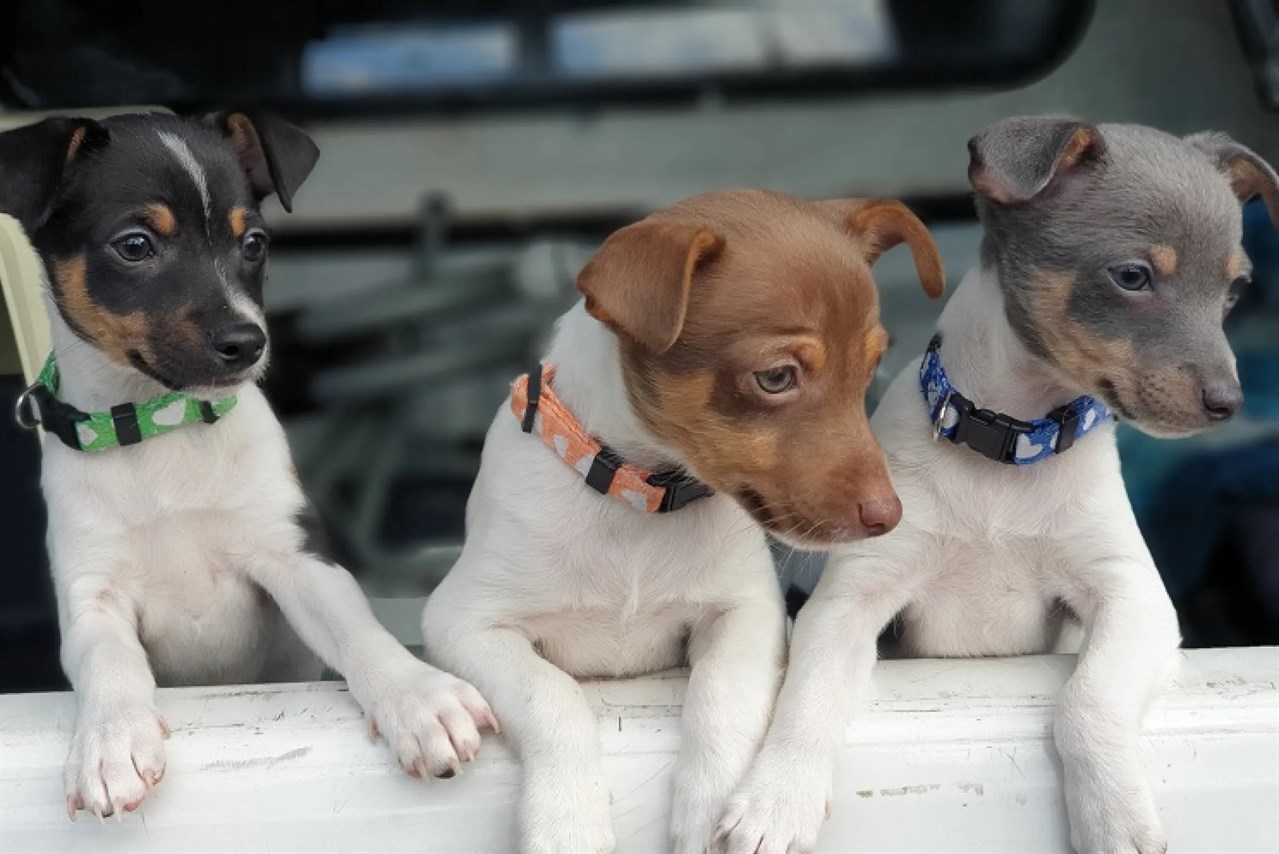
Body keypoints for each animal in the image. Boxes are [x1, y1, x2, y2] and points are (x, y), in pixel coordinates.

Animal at [0, 111, 493, 818]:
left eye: (254, 243)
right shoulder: (92, 596)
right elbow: (108, 667)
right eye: (134, 245)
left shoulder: (295, 558)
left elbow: (360, 632)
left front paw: (418, 697)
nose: (248, 343)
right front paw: (110, 742)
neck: (161, 428)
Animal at [424, 187, 946, 854]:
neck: (640, 503)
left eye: (871, 368)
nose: (890, 516)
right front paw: (566, 820)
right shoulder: (463, 623)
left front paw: (708, 807)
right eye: (776, 377)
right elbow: (551, 695)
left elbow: (721, 693)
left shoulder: (748, 611)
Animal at [716, 118, 1273, 854]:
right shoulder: (849, 602)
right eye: (1132, 276)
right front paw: (776, 801)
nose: (1227, 404)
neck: (1009, 451)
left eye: (1234, 292)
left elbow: (1087, 699)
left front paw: (1114, 813)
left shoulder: (1134, 597)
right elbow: (809, 700)